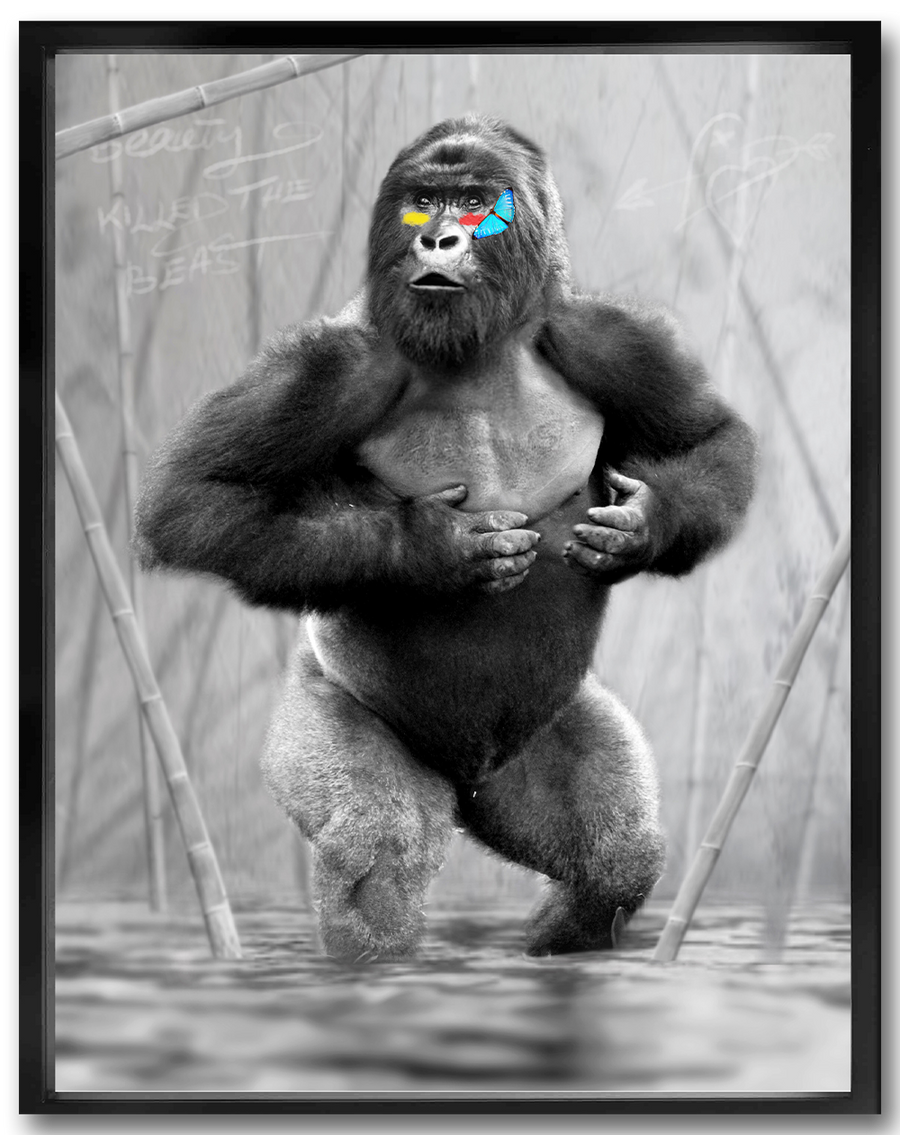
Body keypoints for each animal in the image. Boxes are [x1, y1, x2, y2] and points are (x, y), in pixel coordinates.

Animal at [134, 115, 756, 961]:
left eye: (471, 201)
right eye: (424, 201)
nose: (437, 239)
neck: (488, 343)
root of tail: (466, 785)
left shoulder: (612, 340)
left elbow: (712, 439)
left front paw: (644, 527)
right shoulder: (331, 366)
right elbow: (192, 502)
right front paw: (430, 550)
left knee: (617, 854)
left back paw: (565, 926)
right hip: (326, 708)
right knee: (379, 840)